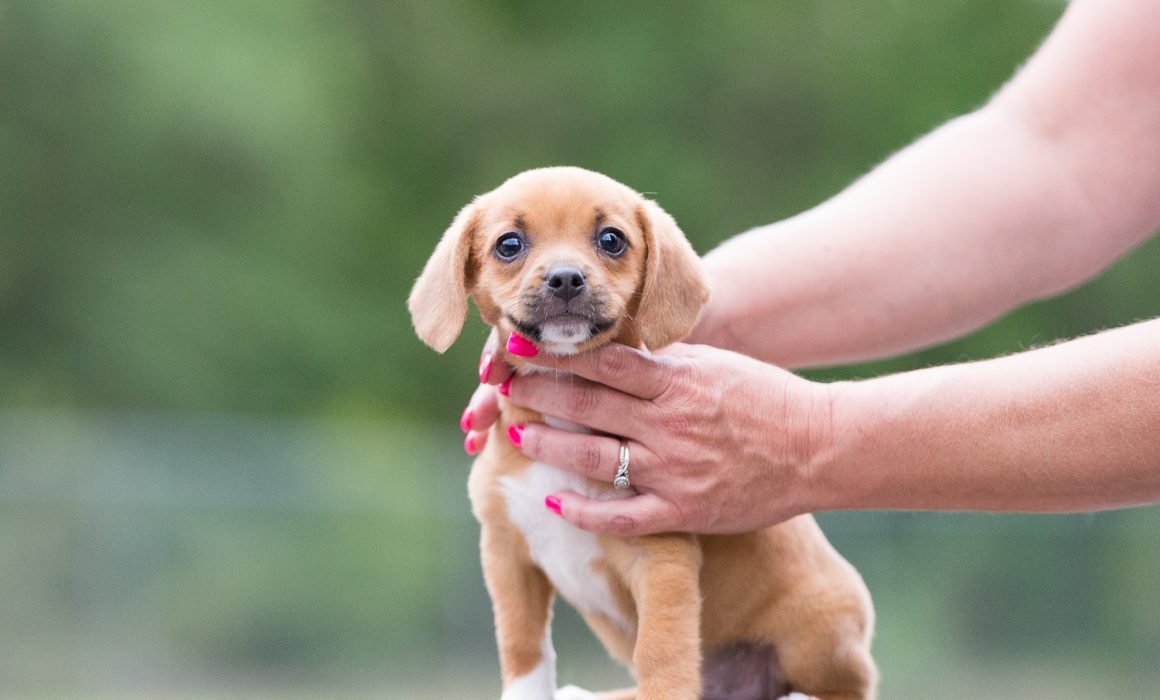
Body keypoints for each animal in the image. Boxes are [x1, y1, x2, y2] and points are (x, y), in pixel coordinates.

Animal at [408, 167, 877, 700]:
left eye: (611, 239)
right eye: (509, 244)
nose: (565, 277)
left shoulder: (659, 560)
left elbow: (661, 653)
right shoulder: (508, 555)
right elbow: (523, 648)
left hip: (820, 627)